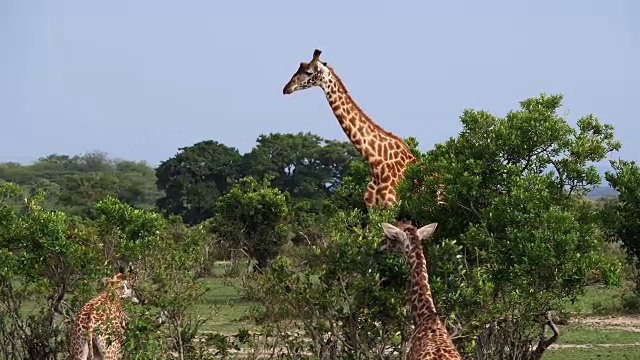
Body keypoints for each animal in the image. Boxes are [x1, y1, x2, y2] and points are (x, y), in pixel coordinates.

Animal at [282, 49, 442, 210]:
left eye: (308, 72)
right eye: (299, 68)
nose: (286, 88)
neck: (376, 163)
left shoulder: (392, 206)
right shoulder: (372, 209)